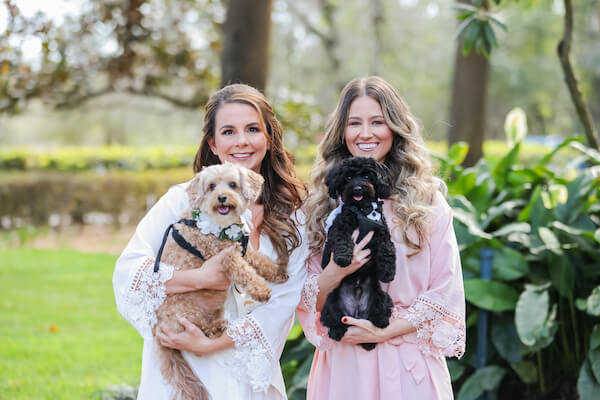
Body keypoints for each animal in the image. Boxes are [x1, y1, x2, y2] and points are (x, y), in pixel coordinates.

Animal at [322, 156, 396, 350]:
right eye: (348, 178)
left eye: (367, 176)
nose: (357, 188)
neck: (363, 210)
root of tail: (356, 313)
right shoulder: (340, 226)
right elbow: (342, 240)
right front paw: (343, 258)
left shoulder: (382, 232)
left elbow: (387, 250)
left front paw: (387, 272)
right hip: (331, 303)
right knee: (334, 320)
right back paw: (337, 331)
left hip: (382, 299)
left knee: (376, 318)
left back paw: (373, 335)